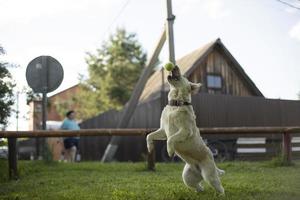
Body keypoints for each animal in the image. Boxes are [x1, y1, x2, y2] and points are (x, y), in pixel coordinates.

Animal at [145, 65, 225, 194]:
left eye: (183, 75)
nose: (174, 66)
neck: (175, 104)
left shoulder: (185, 131)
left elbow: (171, 139)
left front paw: (170, 151)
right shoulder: (163, 131)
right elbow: (149, 135)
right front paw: (150, 147)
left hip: (210, 175)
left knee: (219, 187)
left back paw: (220, 195)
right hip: (187, 177)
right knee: (199, 186)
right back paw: (199, 192)